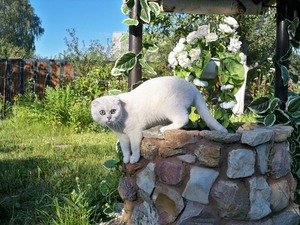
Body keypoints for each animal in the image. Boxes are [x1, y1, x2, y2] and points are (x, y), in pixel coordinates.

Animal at [91, 75, 227, 163]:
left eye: (113, 111)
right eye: (102, 112)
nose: (109, 117)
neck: (119, 123)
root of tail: (193, 87)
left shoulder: (134, 132)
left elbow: (134, 147)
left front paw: (134, 159)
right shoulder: (122, 136)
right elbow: (125, 149)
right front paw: (126, 159)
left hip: (170, 107)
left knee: (184, 119)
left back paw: (164, 128)